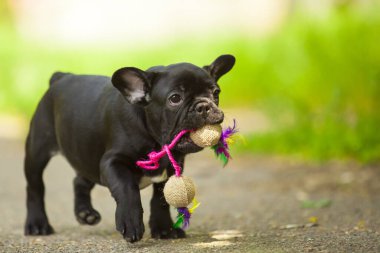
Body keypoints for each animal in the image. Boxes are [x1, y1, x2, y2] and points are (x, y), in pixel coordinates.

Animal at [23, 54, 235, 242]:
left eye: (216, 93)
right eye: (175, 98)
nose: (204, 106)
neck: (155, 139)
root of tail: (61, 76)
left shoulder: (173, 166)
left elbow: (160, 199)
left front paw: (164, 228)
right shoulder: (112, 162)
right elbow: (127, 189)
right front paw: (131, 222)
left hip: (87, 154)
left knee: (80, 180)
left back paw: (85, 213)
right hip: (37, 150)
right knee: (35, 187)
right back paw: (37, 224)